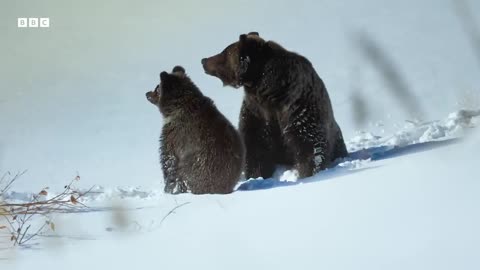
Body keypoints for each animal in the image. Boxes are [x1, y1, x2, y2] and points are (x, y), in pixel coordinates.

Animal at [201, 32, 346, 179]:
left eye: (224, 52)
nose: (204, 60)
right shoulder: (257, 112)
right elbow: (255, 147)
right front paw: (257, 175)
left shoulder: (298, 106)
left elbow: (310, 144)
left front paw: (308, 173)